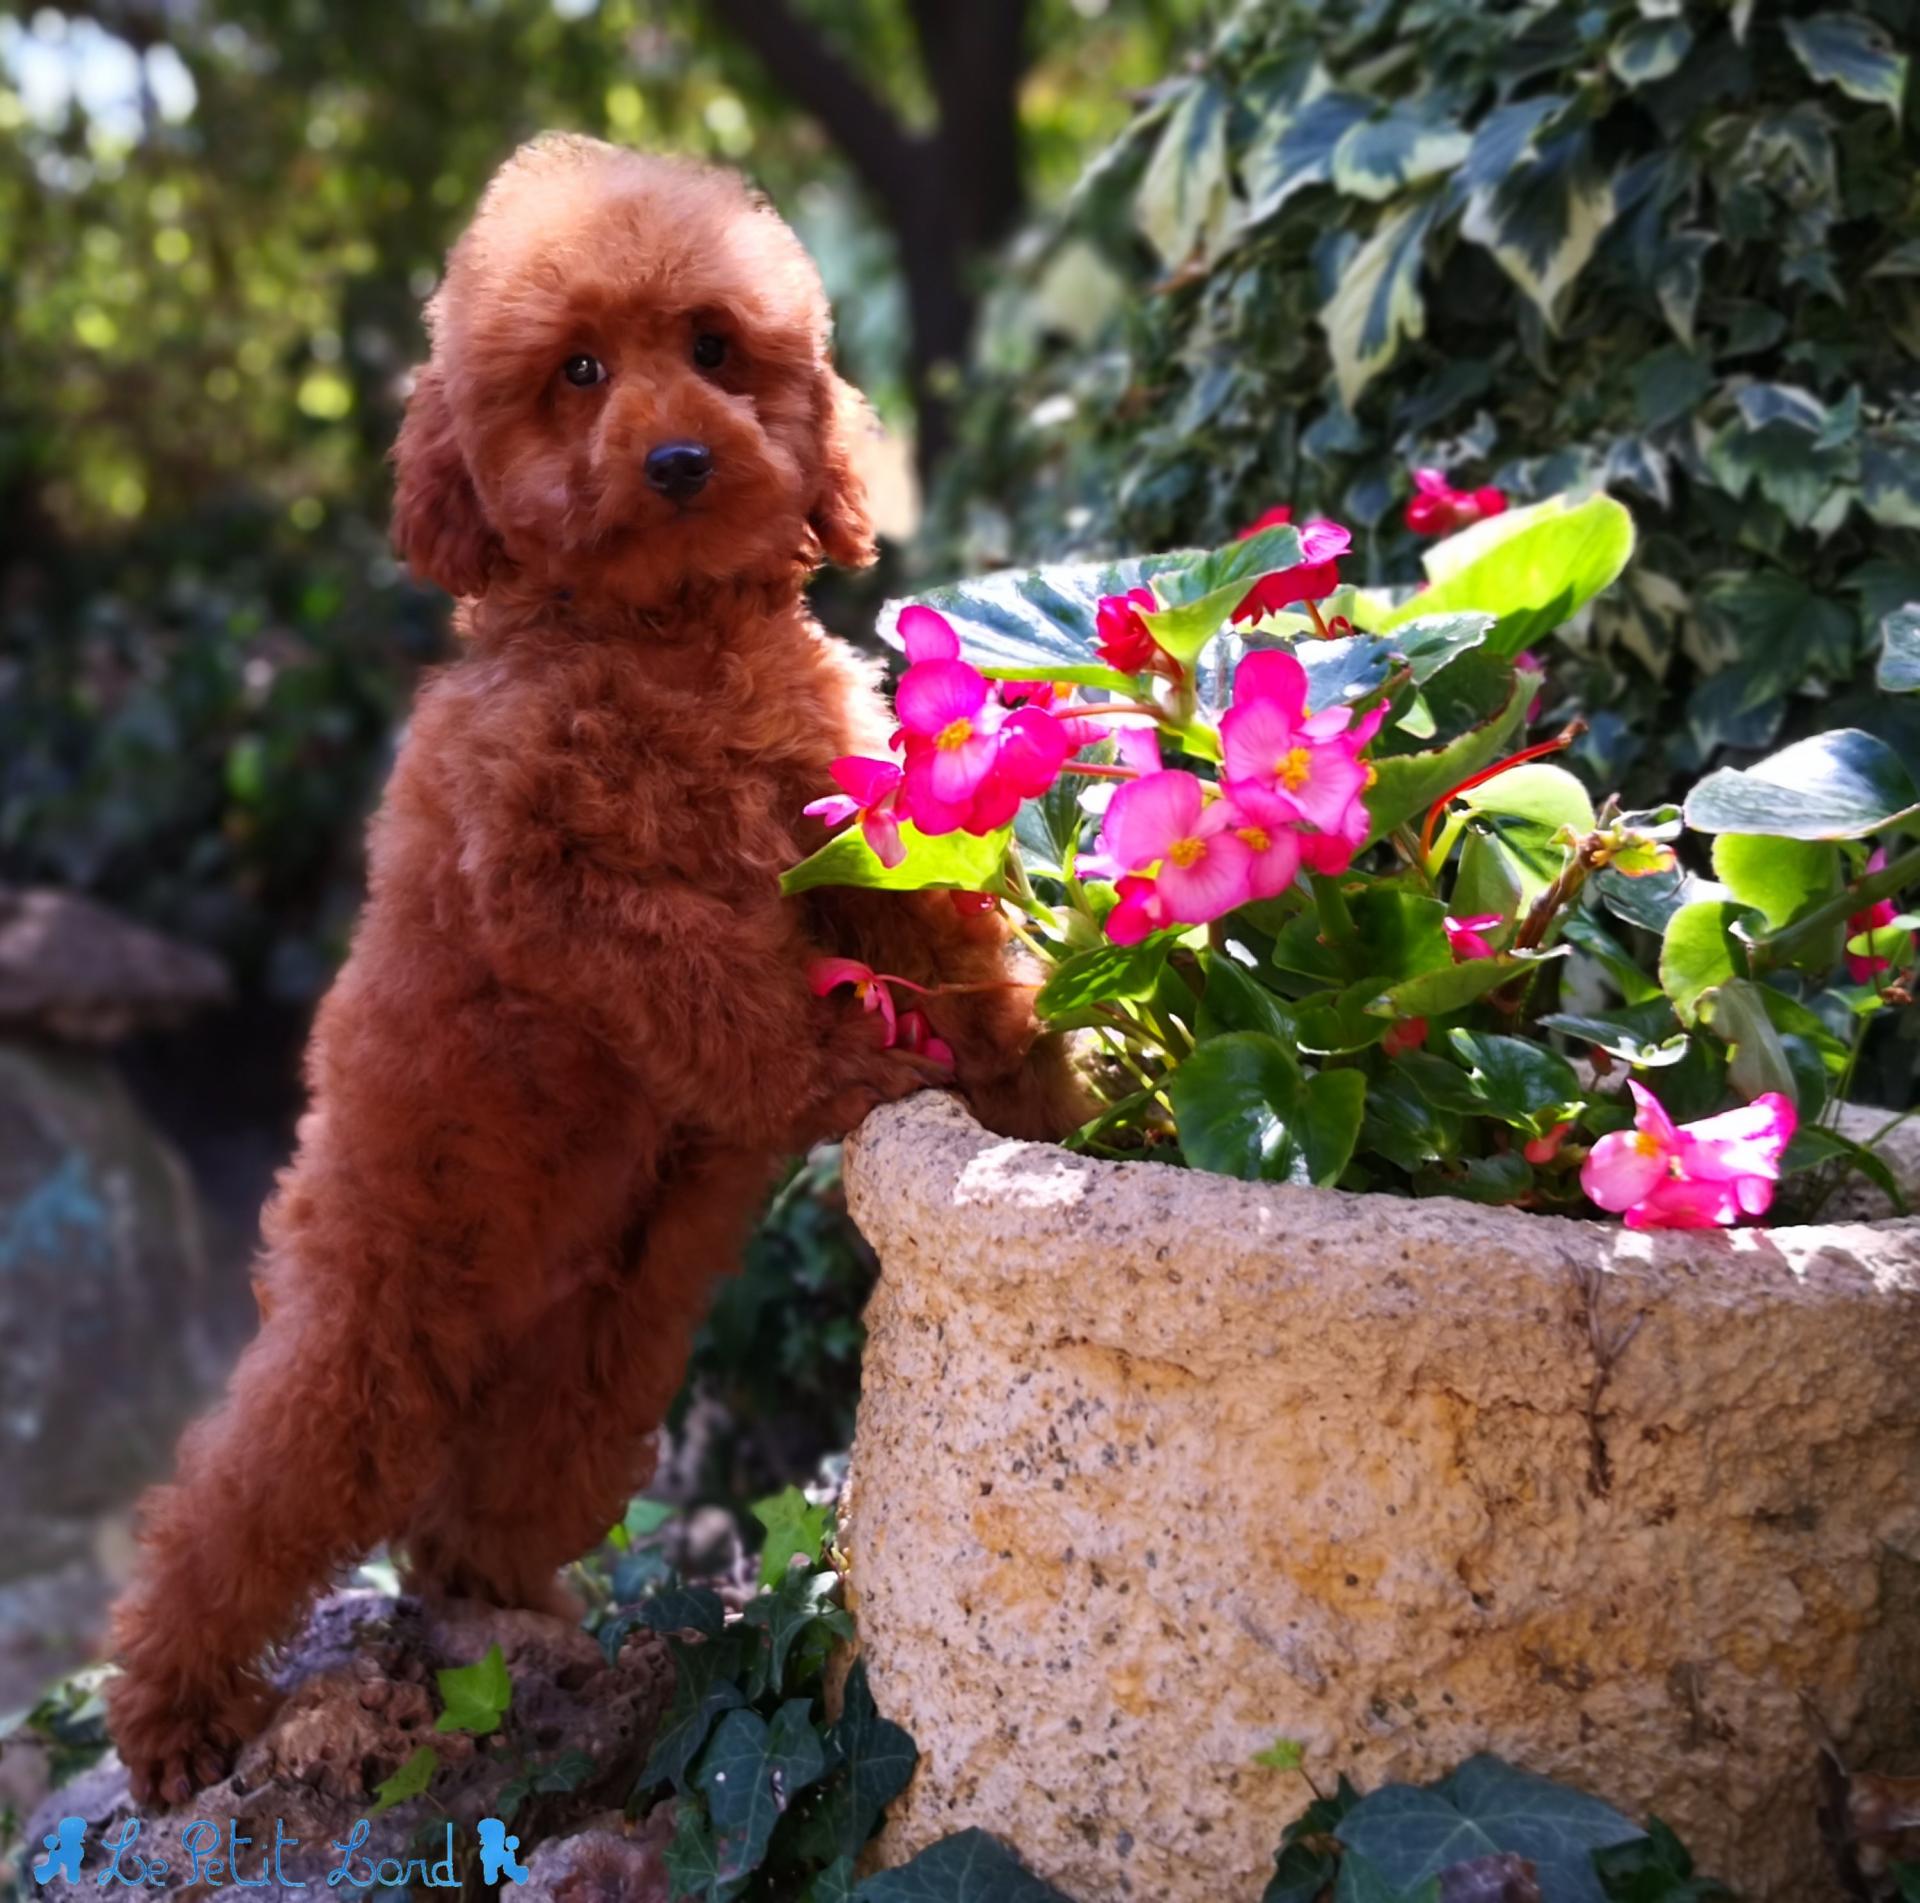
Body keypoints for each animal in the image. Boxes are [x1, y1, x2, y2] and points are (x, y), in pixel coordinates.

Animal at [108, 134, 1082, 1797]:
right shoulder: (565, 891)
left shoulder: (831, 818)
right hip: (374, 1328)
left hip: (597, 1347)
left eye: (714, 346)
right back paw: (172, 1715)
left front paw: (1036, 1076)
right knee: (238, 1498)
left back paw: (519, 1620)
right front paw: (849, 1066)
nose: (679, 460)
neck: (663, 635)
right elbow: (717, 985)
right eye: (575, 371)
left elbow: (933, 932)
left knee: (476, 1518)